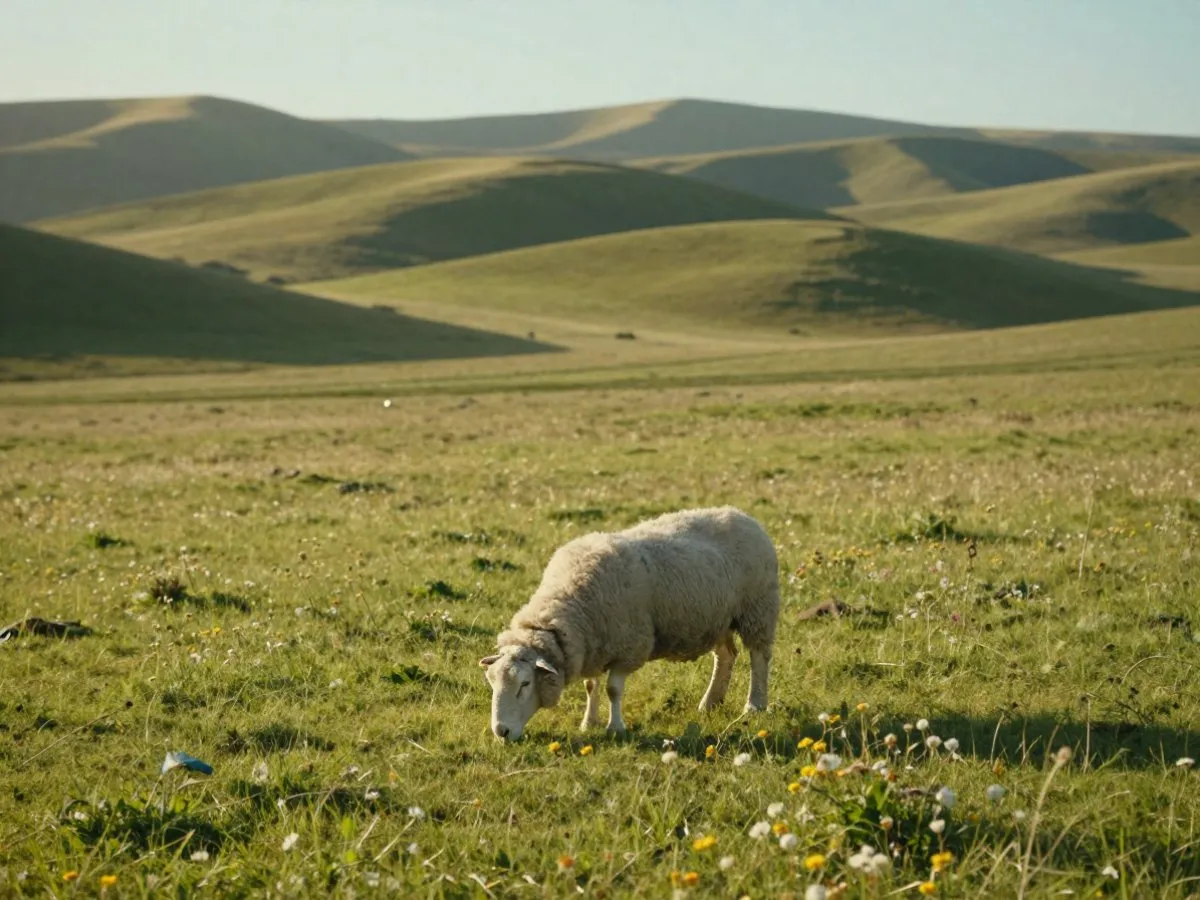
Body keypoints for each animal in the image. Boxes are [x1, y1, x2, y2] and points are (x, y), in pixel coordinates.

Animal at [479, 506, 779, 742]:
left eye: (525, 684)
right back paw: (710, 703)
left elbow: (613, 689)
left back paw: (754, 704)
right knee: (726, 655)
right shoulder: (593, 645)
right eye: (491, 683)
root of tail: (741, 515)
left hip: (758, 609)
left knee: (759, 657)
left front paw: (615, 727)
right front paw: (589, 723)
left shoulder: (629, 647)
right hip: (719, 618)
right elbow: (591, 686)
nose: (501, 731)